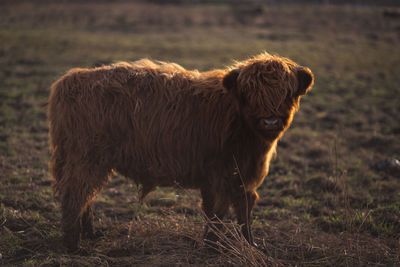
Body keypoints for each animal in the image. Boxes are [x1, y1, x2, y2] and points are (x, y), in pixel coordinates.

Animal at [48, 52, 314, 253]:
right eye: (250, 93)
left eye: (287, 93)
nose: (270, 121)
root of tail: (70, 79)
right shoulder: (221, 174)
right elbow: (218, 210)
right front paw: (212, 247)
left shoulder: (238, 175)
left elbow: (242, 208)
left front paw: (249, 244)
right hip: (86, 158)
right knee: (76, 195)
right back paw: (74, 245)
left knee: (87, 196)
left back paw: (90, 234)